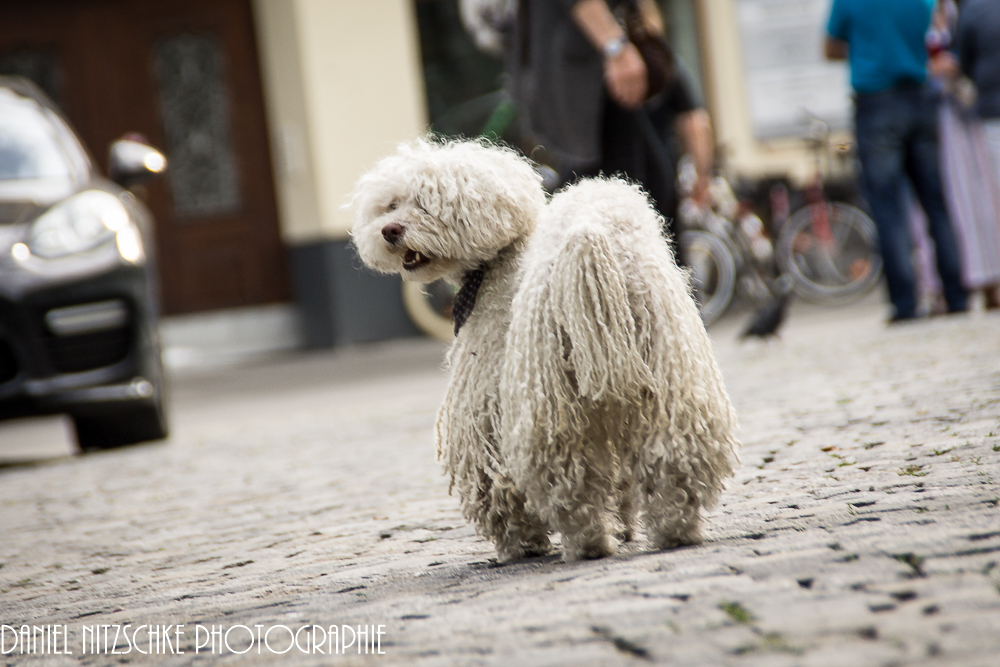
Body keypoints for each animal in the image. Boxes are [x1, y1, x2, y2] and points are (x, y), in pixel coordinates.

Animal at [350, 138, 736, 560]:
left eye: (425, 202)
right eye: (390, 204)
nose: (390, 229)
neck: (497, 262)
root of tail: (592, 240)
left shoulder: (485, 396)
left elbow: (494, 478)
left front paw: (520, 542)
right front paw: (627, 526)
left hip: (549, 401)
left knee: (567, 479)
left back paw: (588, 543)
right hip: (669, 370)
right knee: (673, 457)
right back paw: (675, 531)